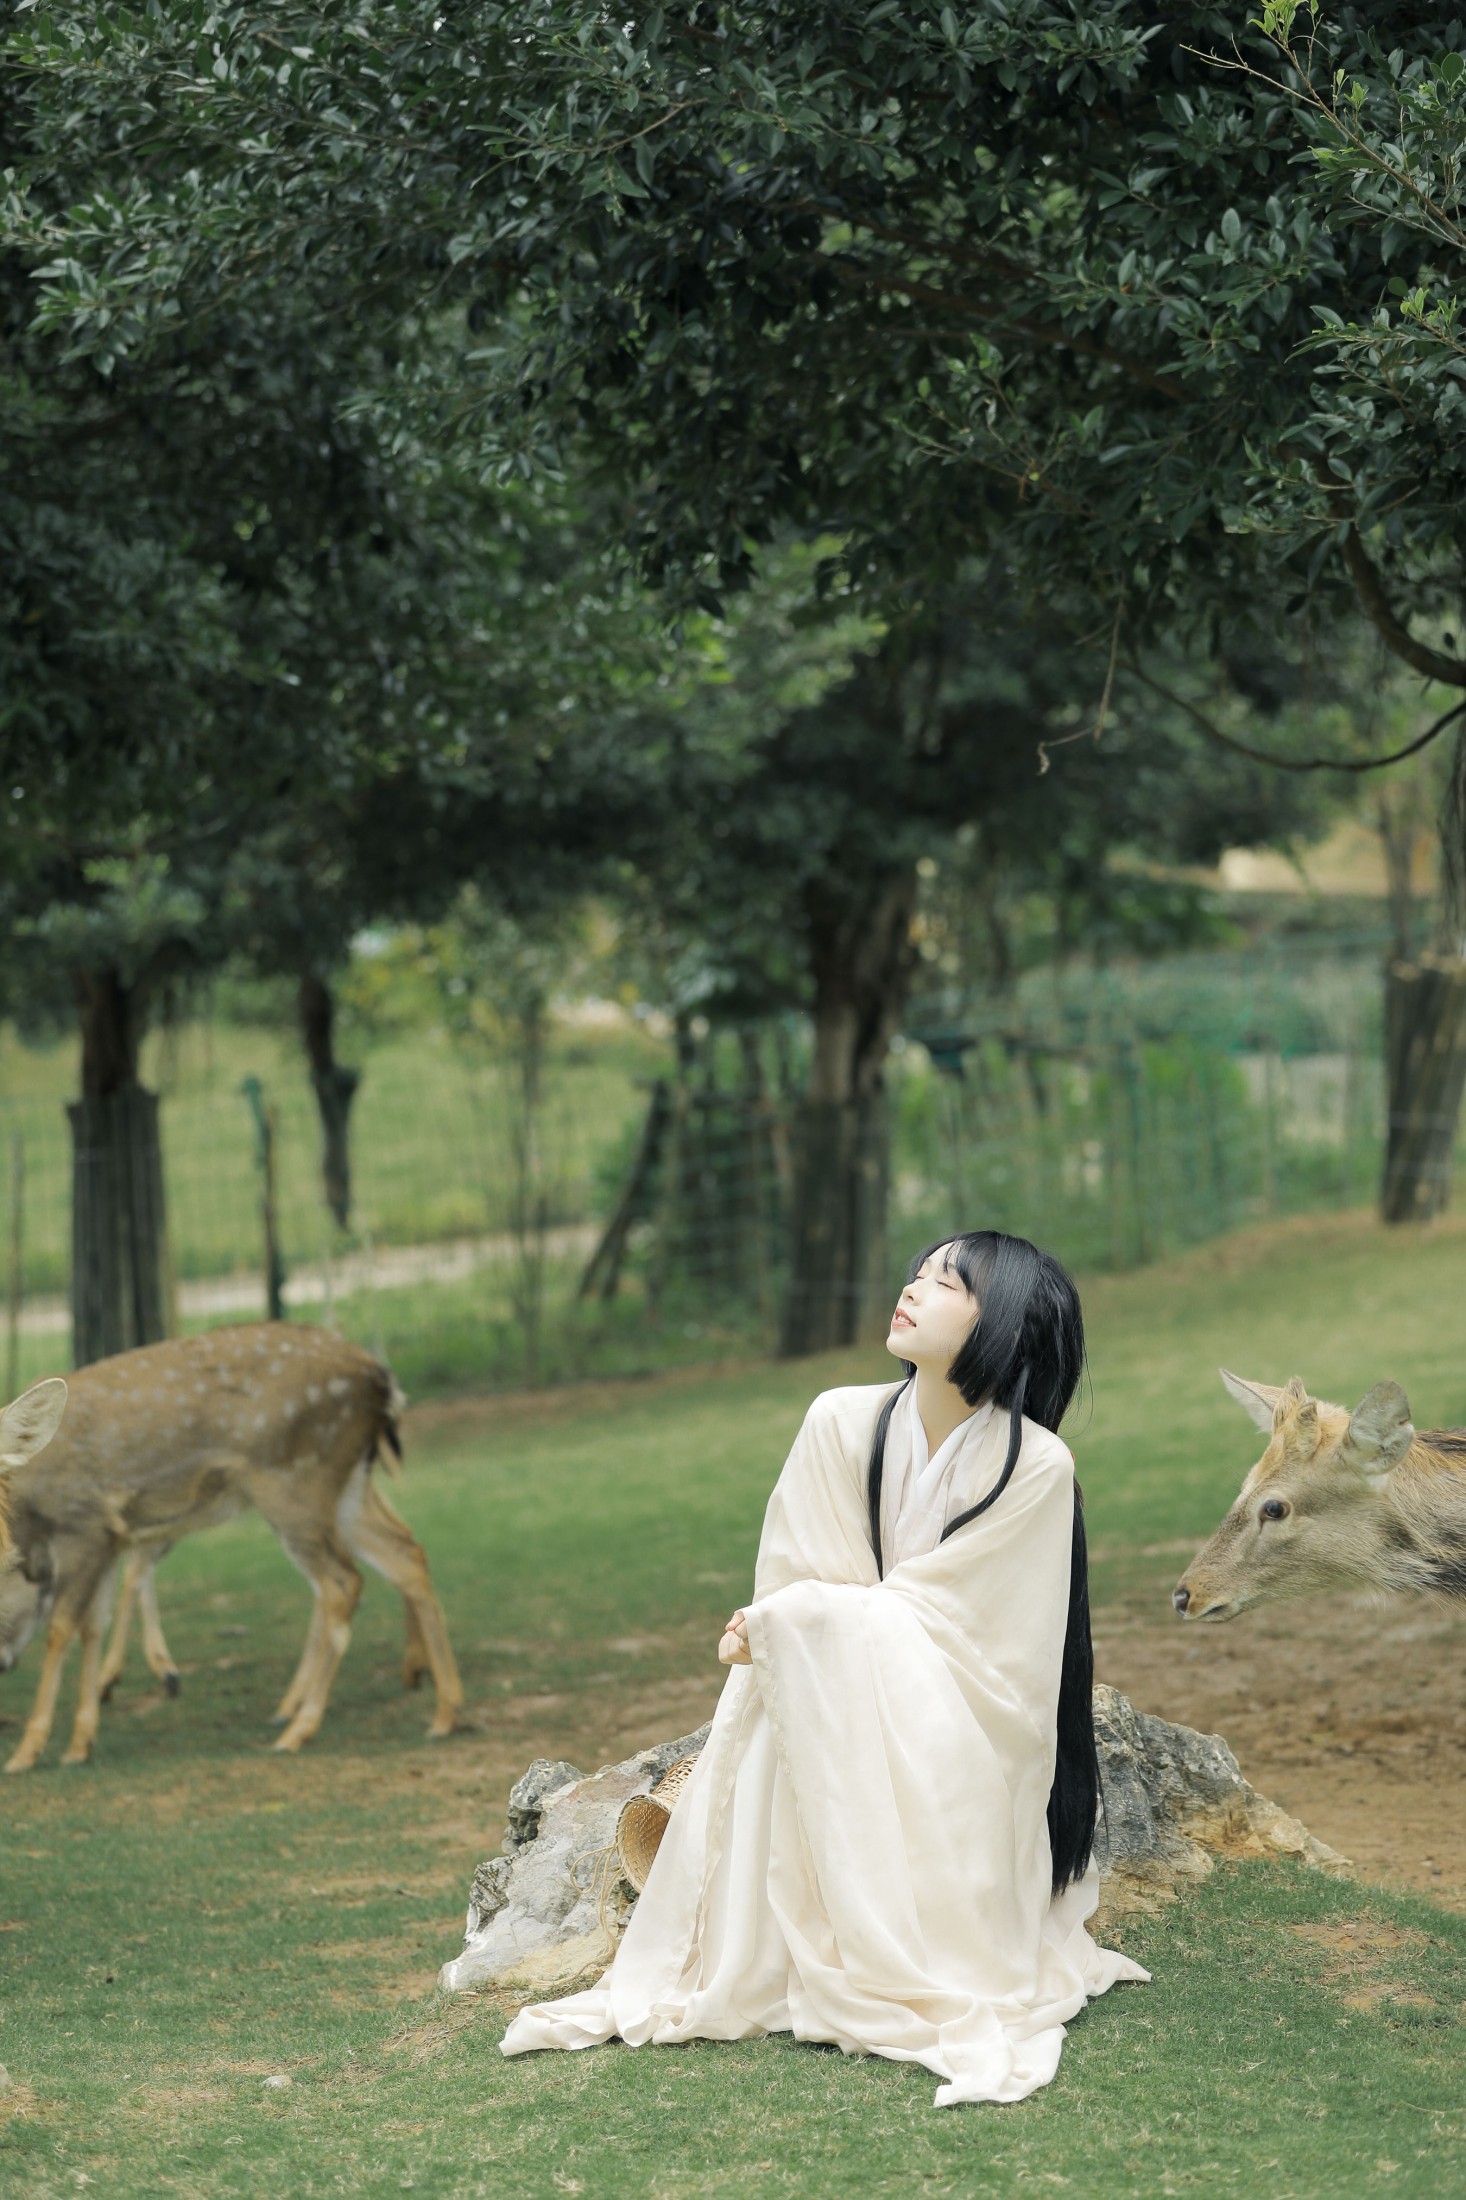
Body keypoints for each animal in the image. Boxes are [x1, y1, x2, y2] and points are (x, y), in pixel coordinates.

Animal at [0, 1323, 463, 1772]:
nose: (3, 1664)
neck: (32, 1518)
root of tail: (382, 1380)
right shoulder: (108, 1539)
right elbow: (93, 1625)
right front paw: (81, 1742)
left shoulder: (85, 1524)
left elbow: (62, 1628)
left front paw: (27, 1752)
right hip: (347, 1486)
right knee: (405, 1554)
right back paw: (444, 1710)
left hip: (297, 1483)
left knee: (342, 1582)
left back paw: (299, 1727)